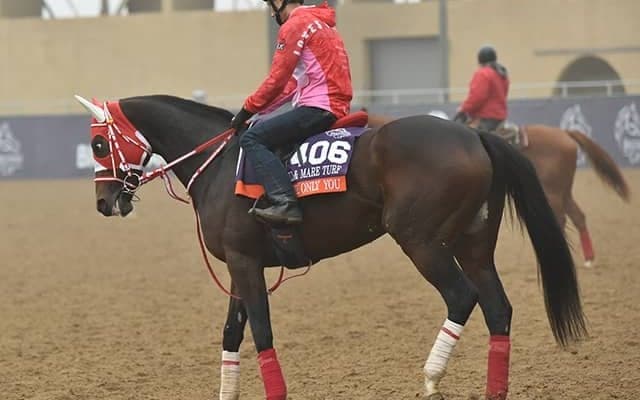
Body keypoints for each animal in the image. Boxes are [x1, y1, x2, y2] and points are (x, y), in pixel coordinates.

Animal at [75, 94, 586, 400]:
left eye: (99, 143)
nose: (104, 202)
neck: (221, 164)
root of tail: (475, 135)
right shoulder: (242, 266)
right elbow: (231, 334)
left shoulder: (245, 264)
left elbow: (261, 332)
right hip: (474, 245)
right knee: (498, 309)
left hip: (423, 242)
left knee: (463, 298)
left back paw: (430, 376)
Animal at [368, 113, 631, 268]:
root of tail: (565, 133)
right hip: (562, 191)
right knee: (578, 216)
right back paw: (587, 259)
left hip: (555, 192)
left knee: (563, 218)